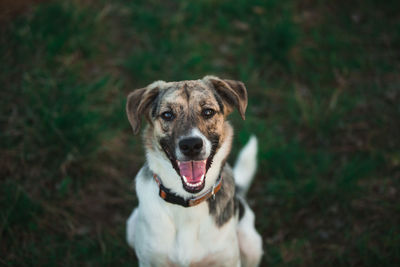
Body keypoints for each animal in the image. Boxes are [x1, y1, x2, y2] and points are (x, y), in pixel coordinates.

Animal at [125, 76, 262, 267]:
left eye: (208, 112)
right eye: (167, 115)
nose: (191, 145)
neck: (187, 201)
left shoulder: (228, 260)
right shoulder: (149, 260)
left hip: (252, 245)